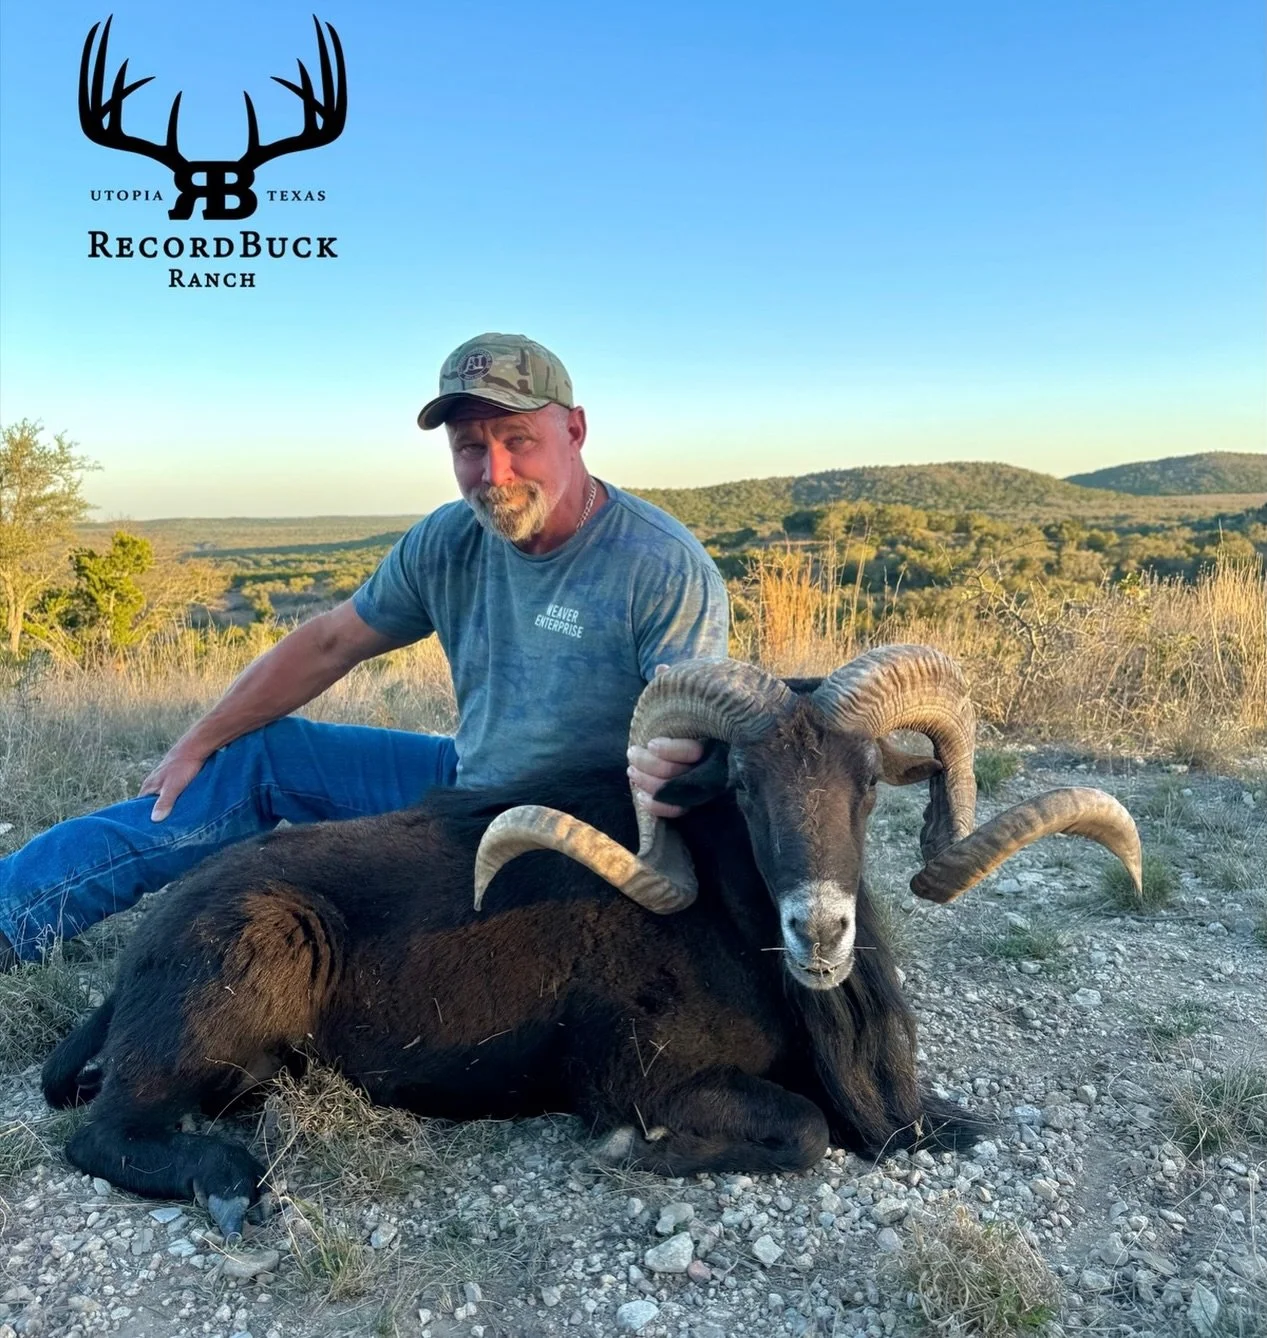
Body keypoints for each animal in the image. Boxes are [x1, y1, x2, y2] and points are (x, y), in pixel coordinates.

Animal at [41, 646, 1142, 1241]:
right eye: (742, 786)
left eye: (869, 780)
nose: (820, 928)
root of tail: (153, 944)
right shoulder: (644, 1078)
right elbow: (801, 1131)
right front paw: (631, 1153)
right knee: (102, 1135)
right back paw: (229, 1185)